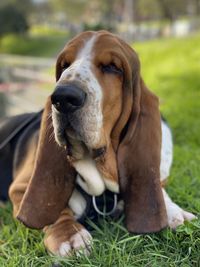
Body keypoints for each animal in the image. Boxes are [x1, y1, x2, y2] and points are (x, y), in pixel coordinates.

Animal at [0, 30, 197, 258]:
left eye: (112, 67)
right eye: (64, 65)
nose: (63, 97)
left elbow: (159, 189)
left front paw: (175, 213)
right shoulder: (21, 188)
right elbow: (56, 210)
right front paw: (70, 236)